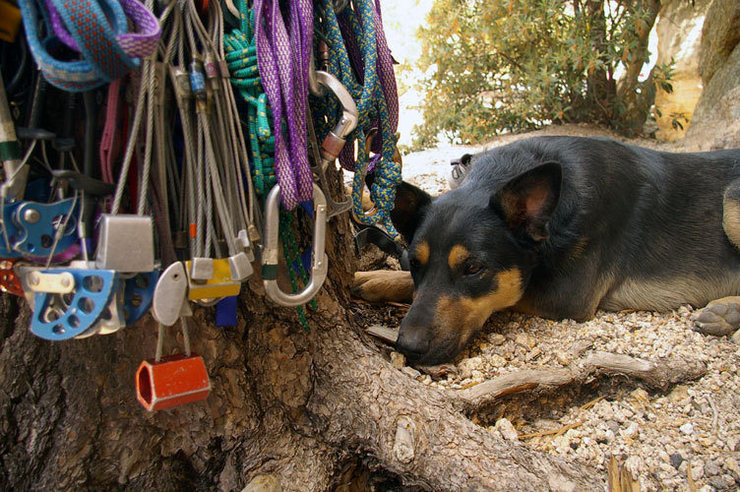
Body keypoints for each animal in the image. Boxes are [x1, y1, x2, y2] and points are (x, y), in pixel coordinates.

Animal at [352, 135, 740, 366]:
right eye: (416, 263)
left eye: (474, 268)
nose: (408, 347)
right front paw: (373, 278)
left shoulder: (565, 296)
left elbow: (509, 295)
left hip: (731, 199)